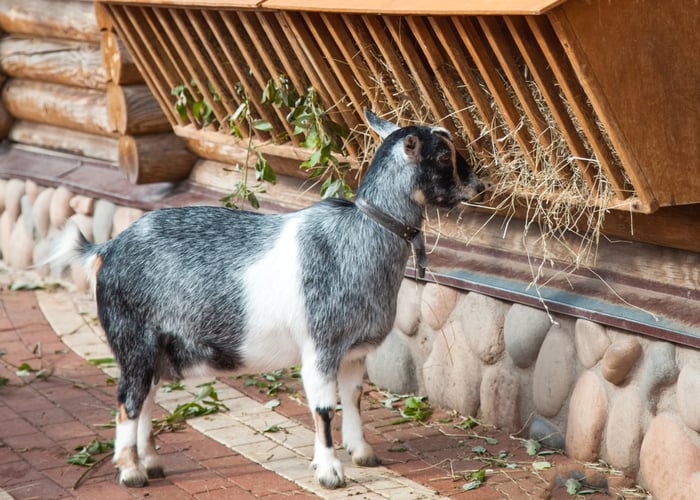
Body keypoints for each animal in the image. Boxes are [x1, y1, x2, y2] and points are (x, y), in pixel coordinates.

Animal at [54, 109, 484, 488]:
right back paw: (131, 471)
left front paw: (363, 453)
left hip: (158, 348)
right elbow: (324, 410)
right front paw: (330, 473)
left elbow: (354, 399)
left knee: (146, 396)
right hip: (133, 340)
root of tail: (106, 248)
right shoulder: (320, 348)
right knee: (127, 400)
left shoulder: (354, 352)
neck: (359, 236)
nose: (479, 185)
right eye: (443, 154)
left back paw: (152, 462)